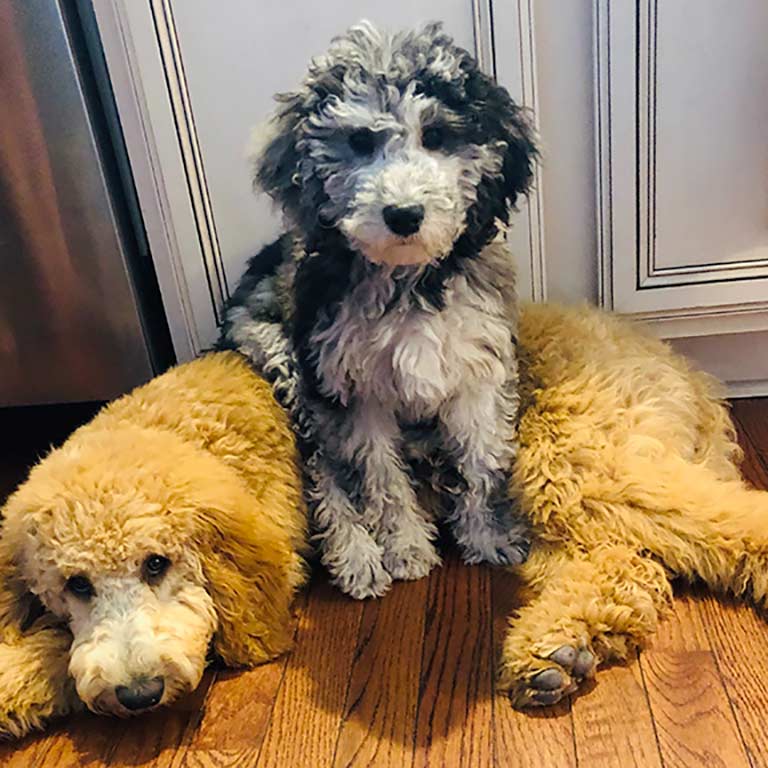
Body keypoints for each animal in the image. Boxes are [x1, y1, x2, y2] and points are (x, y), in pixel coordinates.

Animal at [220, 19, 536, 600]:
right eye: (361, 141)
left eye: (436, 136)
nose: (404, 214)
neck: (407, 279)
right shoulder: (351, 391)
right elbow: (377, 477)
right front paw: (405, 549)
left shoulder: (479, 369)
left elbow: (483, 459)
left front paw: (490, 535)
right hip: (284, 360)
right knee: (323, 471)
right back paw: (357, 556)